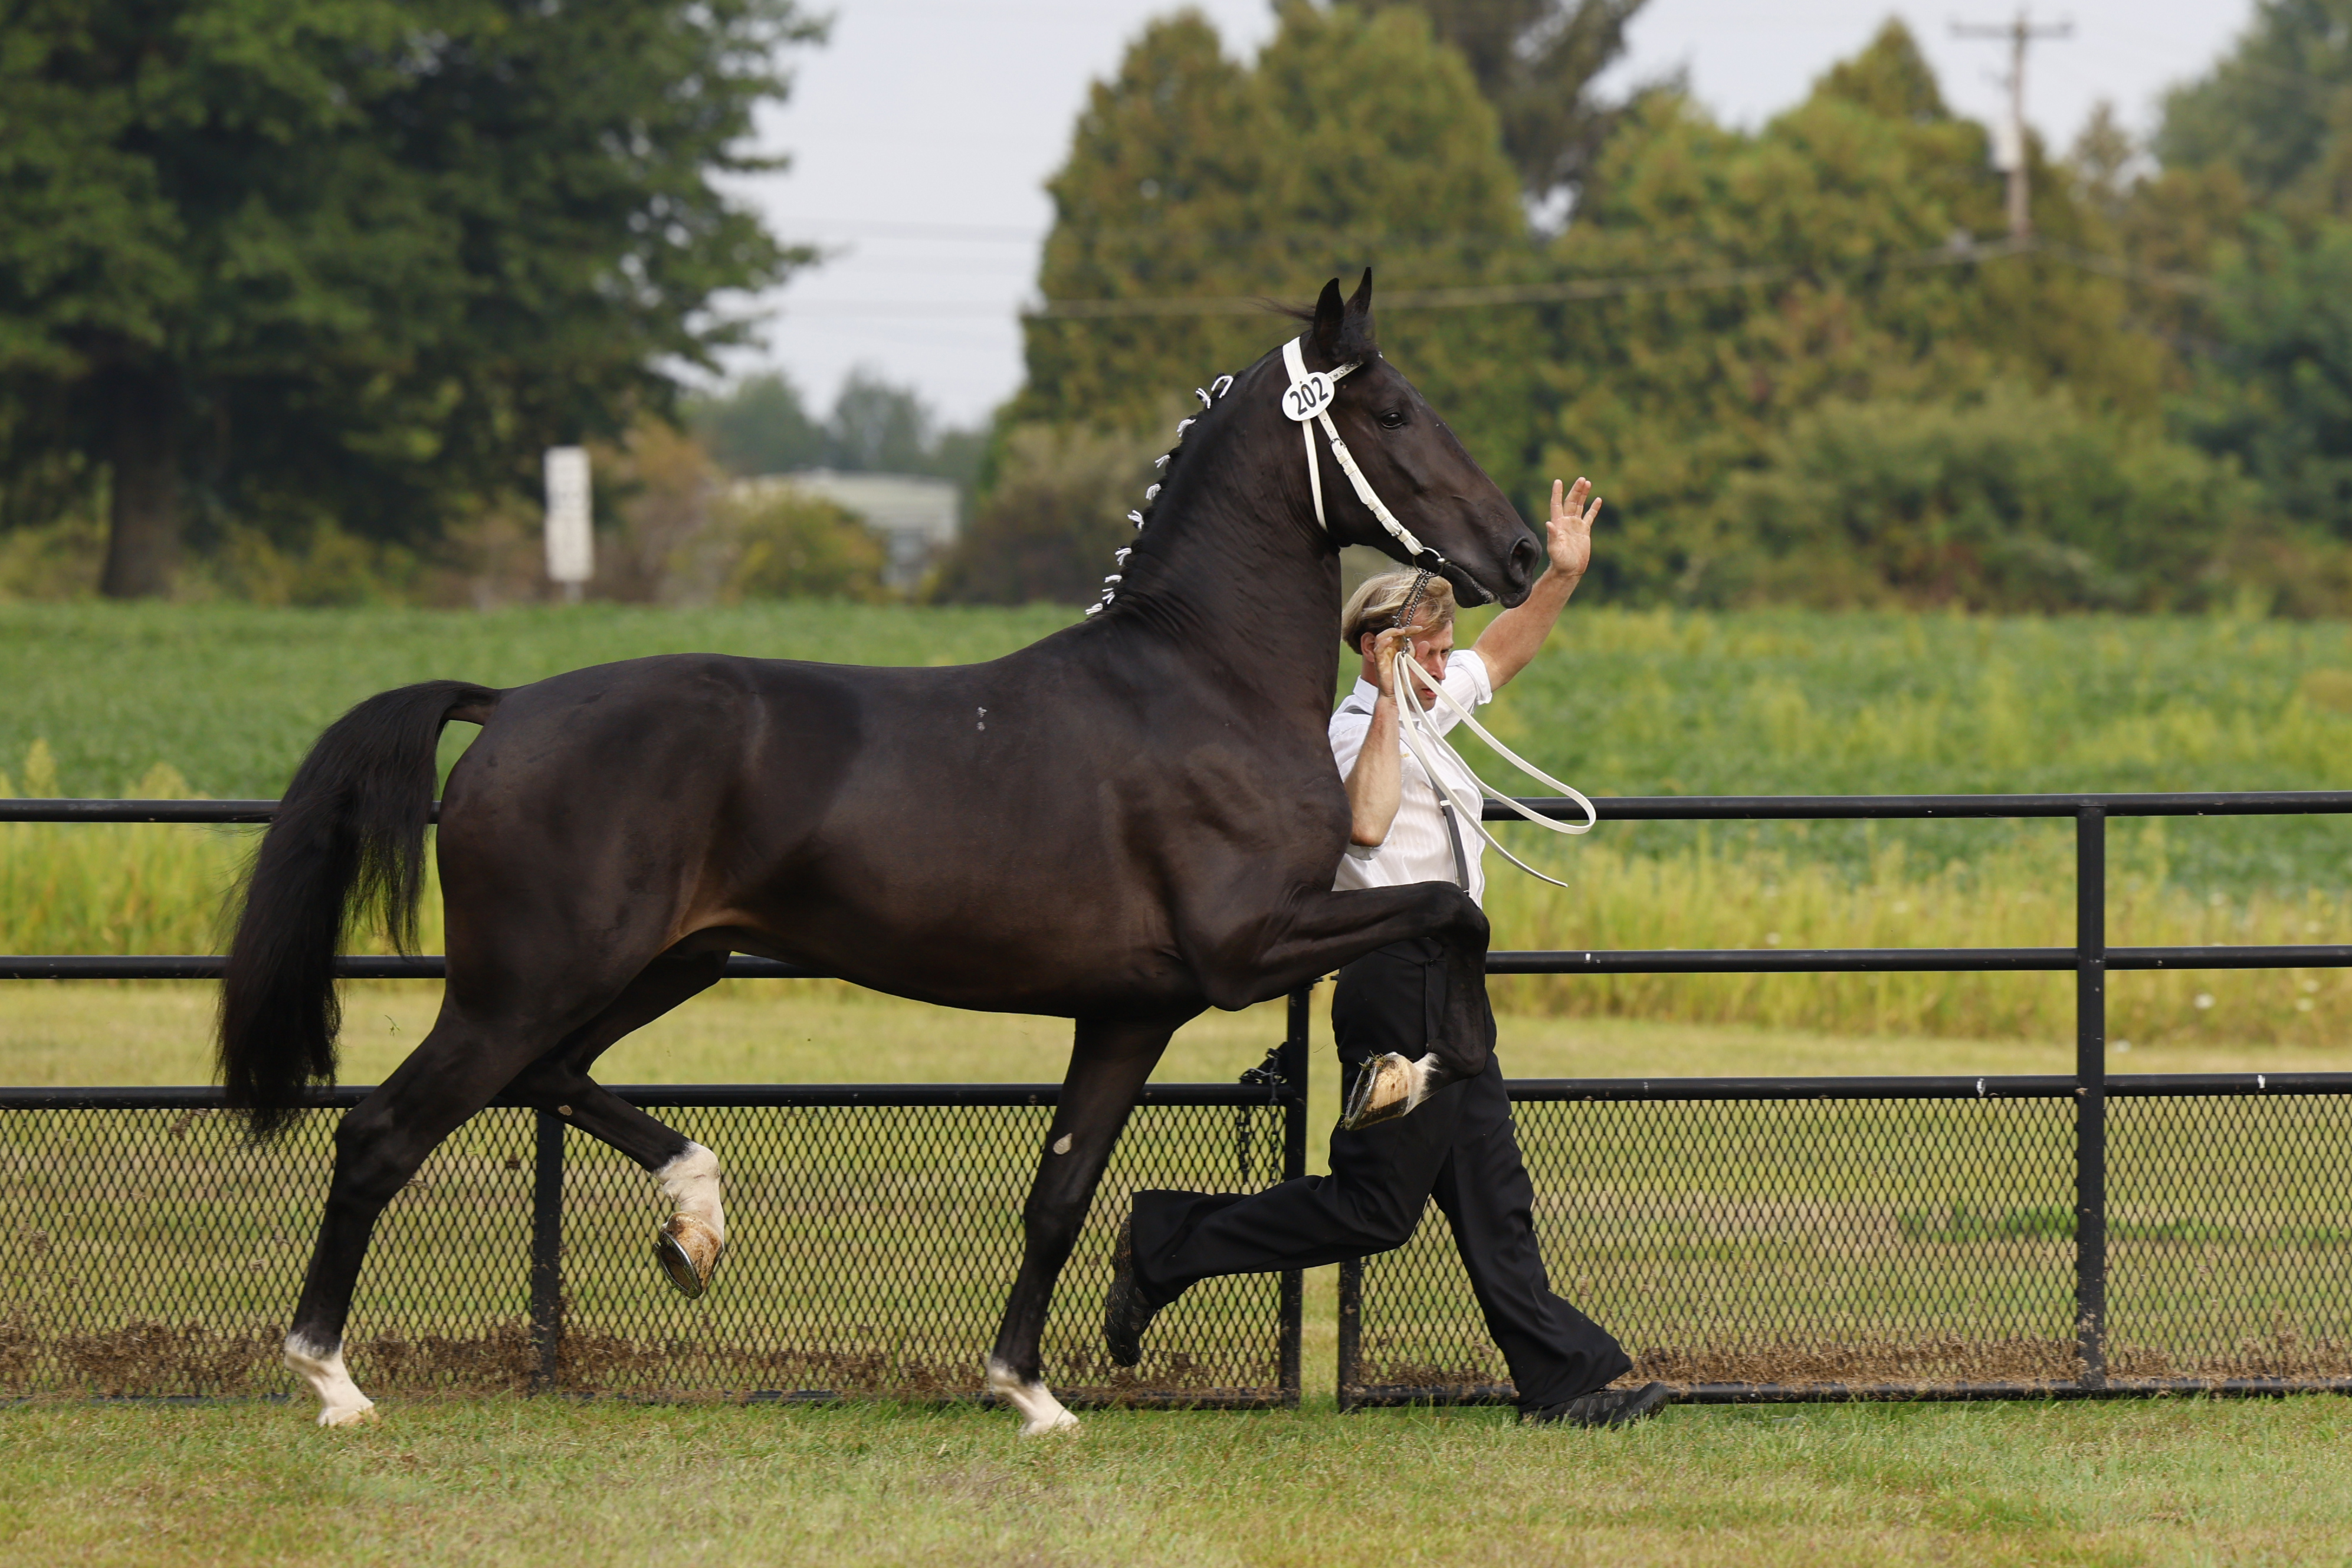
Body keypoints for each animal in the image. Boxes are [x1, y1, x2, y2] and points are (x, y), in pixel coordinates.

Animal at [219, 270, 1544, 1432]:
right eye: (1391, 410)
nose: (1525, 552)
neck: (1197, 682)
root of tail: (507, 709)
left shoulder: (1130, 1011)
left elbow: (1058, 1195)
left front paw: (1028, 1392)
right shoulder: (1247, 947)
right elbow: (1451, 909)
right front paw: (1410, 1073)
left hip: (661, 965)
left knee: (550, 1075)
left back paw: (693, 1220)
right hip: (525, 982)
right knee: (383, 1133)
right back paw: (332, 1380)